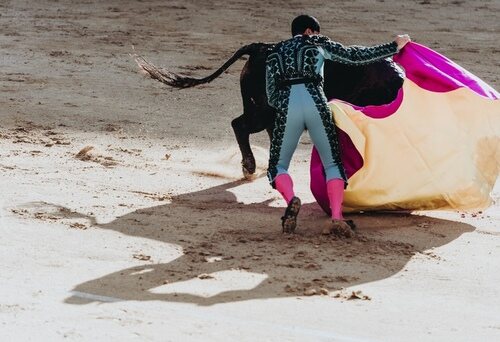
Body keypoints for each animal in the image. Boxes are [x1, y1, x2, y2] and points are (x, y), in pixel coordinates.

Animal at [135, 42, 404, 176]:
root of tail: (260, 47)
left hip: (267, 111)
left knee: (263, 130)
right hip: (263, 110)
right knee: (240, 125)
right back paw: (250, 166)